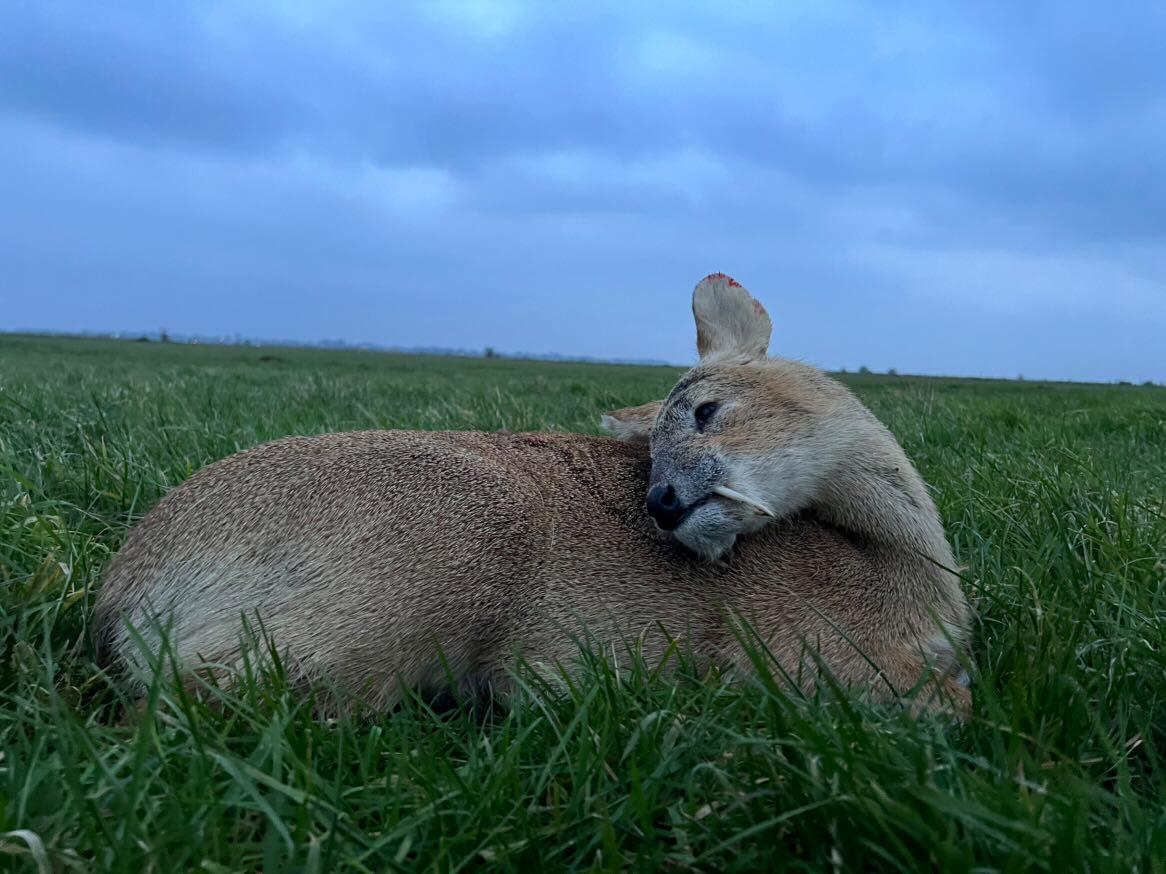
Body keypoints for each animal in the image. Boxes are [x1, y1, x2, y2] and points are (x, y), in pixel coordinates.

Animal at [93, 274, 972, 716]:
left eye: (704, 408)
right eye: (656, 440)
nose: (662, 503)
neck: (899, 574)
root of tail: (123, 588)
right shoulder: (798, 652)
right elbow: (958, 704)